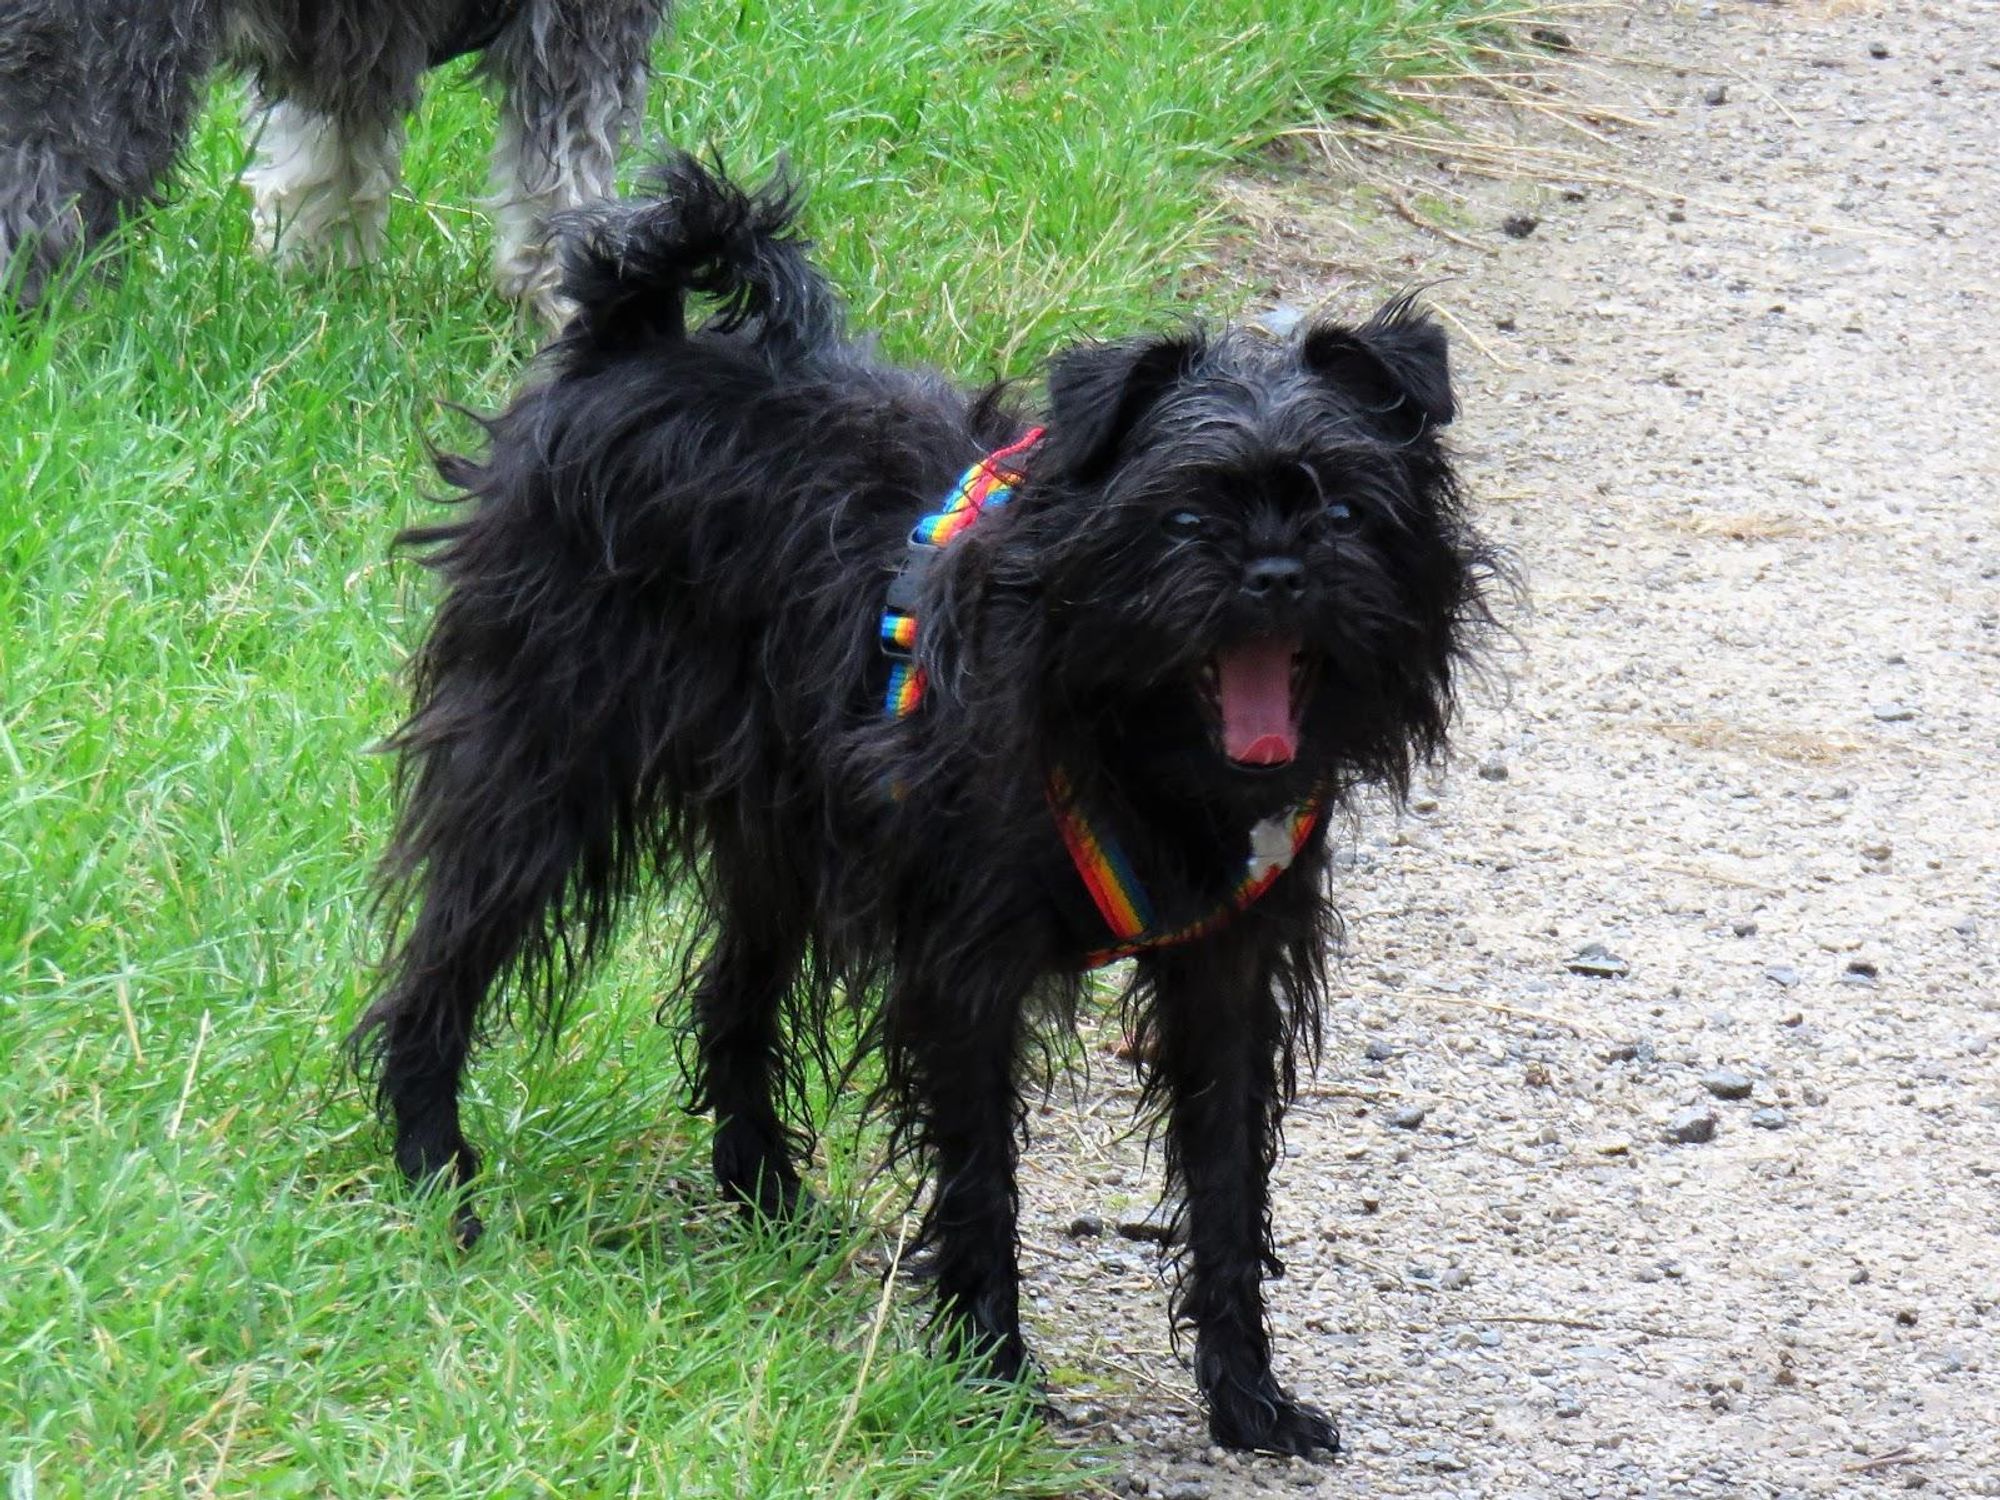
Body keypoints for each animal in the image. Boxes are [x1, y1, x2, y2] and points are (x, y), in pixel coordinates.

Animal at [0, 1, 672, 320]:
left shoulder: (353, 48)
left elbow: (326, 174)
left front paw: (316, 281)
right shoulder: (580, 33)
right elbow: (564, 186)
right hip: (101, 62)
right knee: (38, 201)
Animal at [352, 156, 1496, 1456]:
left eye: (1345, 512)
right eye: (1184, 517)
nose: (1274, 572)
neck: (1132, 729)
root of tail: (632, 338)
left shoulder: (1227, 968)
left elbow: (1223, 1178)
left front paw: (1245, 1393)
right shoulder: (968, 968)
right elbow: (980, 1174)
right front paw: (991, 1367)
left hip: (785, 830)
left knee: (728, 999)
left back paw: (765, 1197)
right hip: (543, 769)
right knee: (442, 964)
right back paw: (435, 1169)